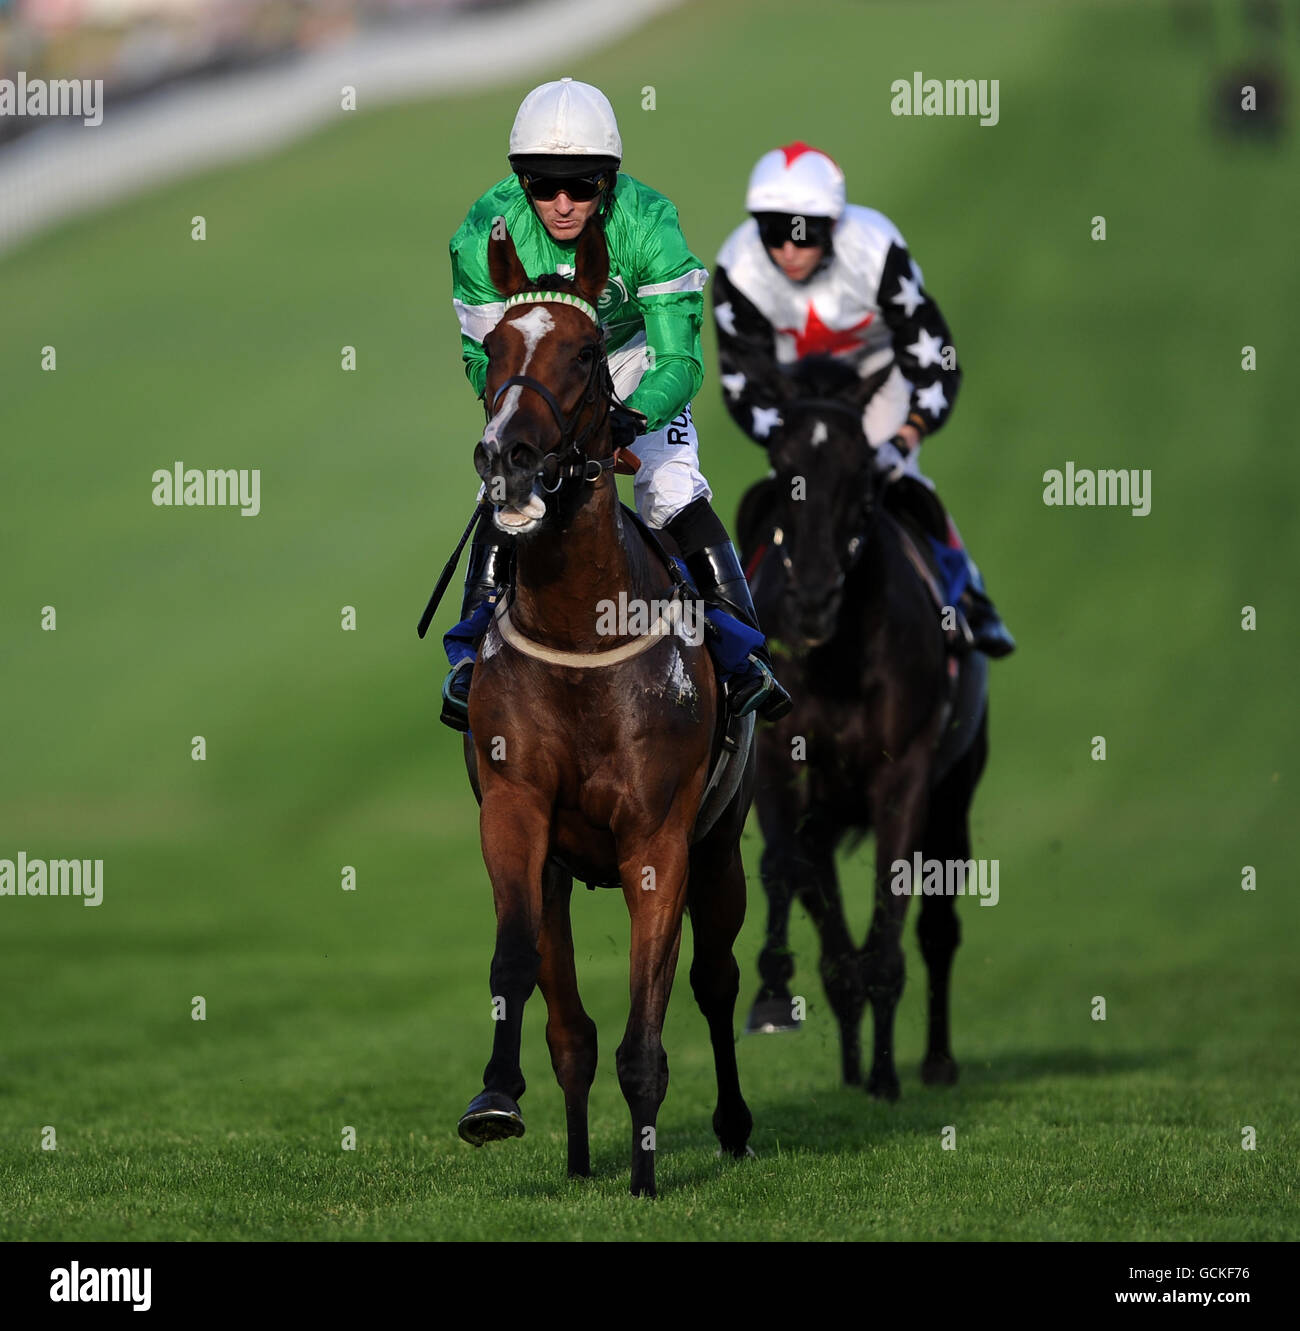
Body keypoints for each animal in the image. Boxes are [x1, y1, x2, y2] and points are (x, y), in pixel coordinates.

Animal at [452, 215, 750, 1197]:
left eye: (586, 352)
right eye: (497, 346)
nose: (506, 457)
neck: (584, 642)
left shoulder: (659, 839)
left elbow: (645, 1035)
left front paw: (646, 1180)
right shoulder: (518, 815)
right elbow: (530, 979)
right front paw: (498, 1101)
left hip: (724, 844)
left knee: (719, 980)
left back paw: (733, 1127)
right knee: (575, 1026)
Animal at [734, 356, 989, 1102]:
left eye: (860, 469)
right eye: (782, 461)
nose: (815, 595)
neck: (837, 652)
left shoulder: (903, 773)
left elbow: (890, 927)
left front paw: (884, 1076)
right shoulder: (781, 764)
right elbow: (787, 868)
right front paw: (771, 993)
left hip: (956, 789)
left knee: (937, 929)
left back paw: (931, 1062)